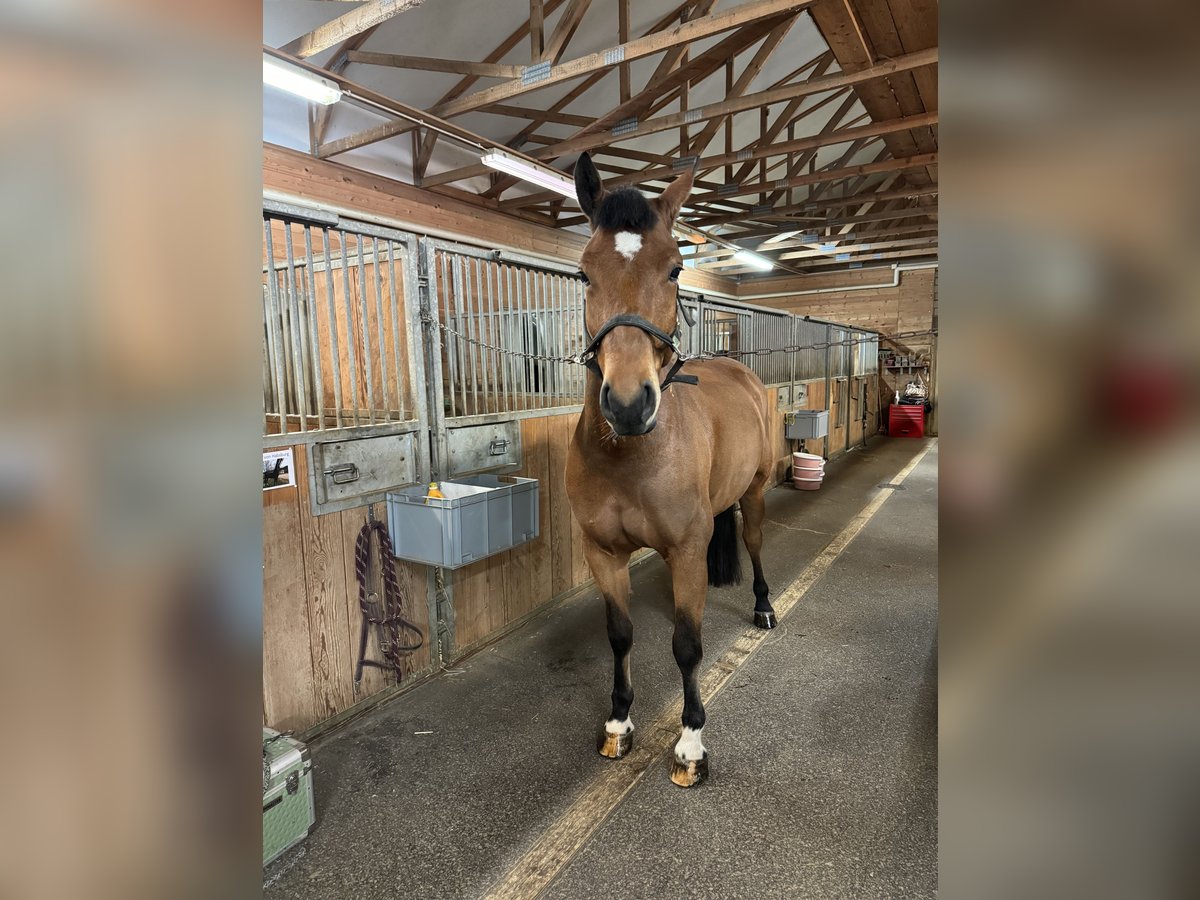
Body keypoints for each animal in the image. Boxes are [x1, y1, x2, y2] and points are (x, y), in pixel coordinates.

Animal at [564, 154, 777, 787]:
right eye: (584, 274)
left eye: (676, 269)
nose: (628, 404)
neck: (631, 455)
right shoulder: (603, 553)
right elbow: (620, 634)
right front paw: (617, 725)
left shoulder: (685, 549)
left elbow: (687, 644)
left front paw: (690, 745)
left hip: (756, 492)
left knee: (755, 543)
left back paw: (763, 607)